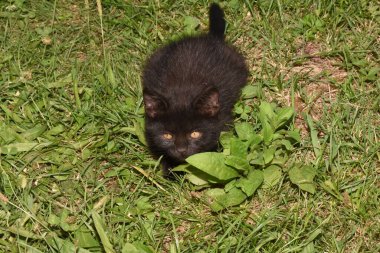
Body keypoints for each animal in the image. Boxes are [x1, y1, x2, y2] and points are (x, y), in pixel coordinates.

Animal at [141, 3, 248, 176]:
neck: (182, 93)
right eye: (167, 135)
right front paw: (170, 169)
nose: (181, 149)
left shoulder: (223, 120)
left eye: (195, 134)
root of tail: (211, 38)